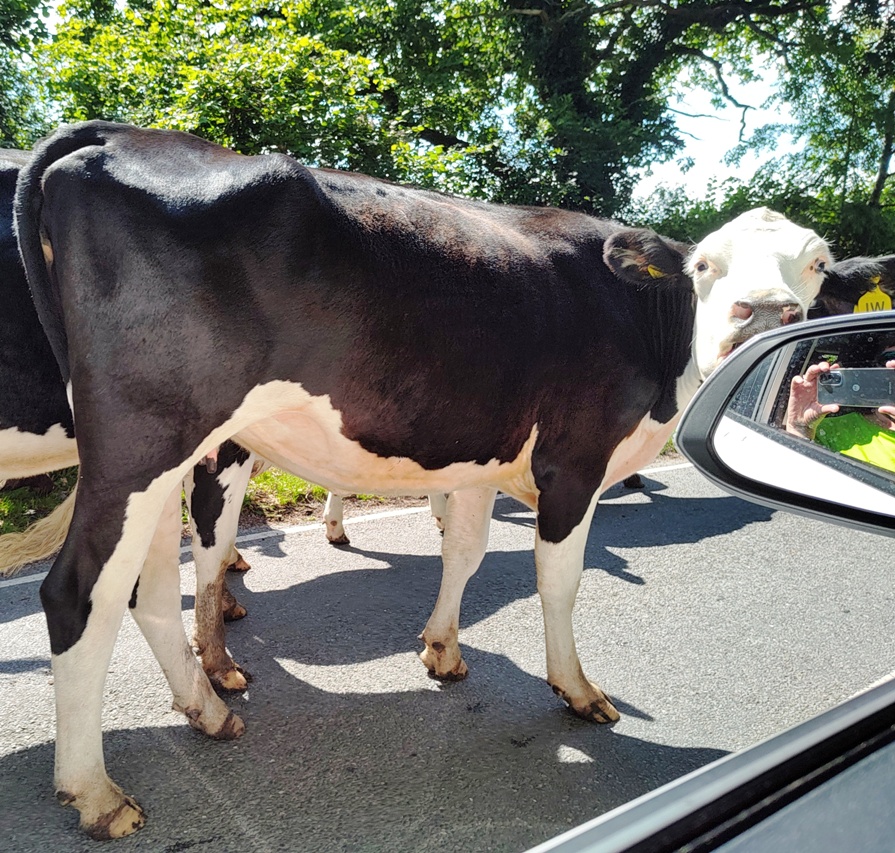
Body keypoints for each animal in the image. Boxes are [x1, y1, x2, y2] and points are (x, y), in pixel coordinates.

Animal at [14, 120, 832, 839]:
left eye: (818, 263)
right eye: (704, 266)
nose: (765, 314)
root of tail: (116, 133)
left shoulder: (480, 459)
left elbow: (464, 552)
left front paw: (442, 650)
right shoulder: (574, 463)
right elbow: (558, 581)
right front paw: (577, 690)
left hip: (167, 457)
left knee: (149, 589)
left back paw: (209, 711)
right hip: (145, 443)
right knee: (80, 594)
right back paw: (97, 793)